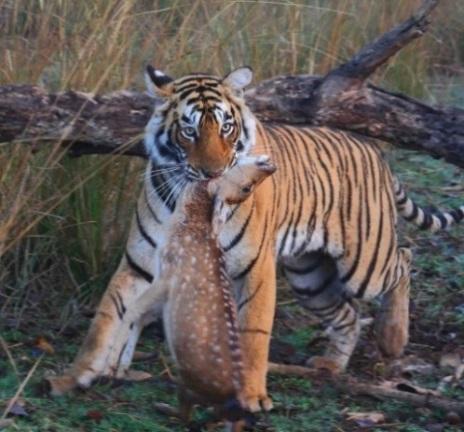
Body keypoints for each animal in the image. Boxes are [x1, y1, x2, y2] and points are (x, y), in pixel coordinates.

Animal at [49, 65, 462, 412]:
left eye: (226, 127)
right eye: (189, 130)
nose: (212, 173)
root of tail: (374, 151)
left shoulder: (255, 268)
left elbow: (253, 333)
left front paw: (252, 397)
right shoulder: (140, 263)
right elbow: (105, 318)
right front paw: (73, 377)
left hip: (364, 261)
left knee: (404, 259)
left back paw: (393, 337)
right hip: (310, 277)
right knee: (348, 313)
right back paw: (331, 364)